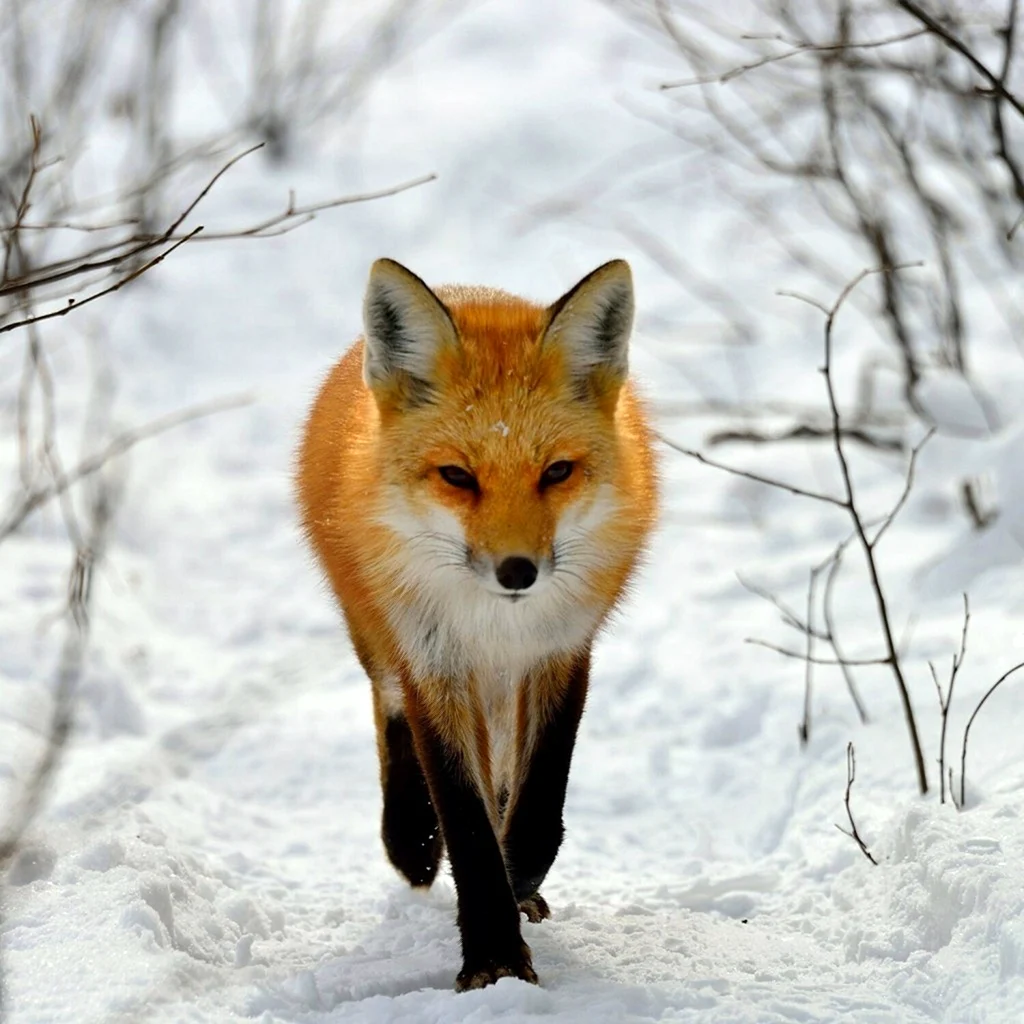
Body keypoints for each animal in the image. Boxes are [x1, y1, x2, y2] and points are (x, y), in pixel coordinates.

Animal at [295, 257, 658, 991]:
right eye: (458, 476)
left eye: (557, 472)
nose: (518, 572)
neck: (496, 625)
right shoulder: (434, 660)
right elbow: (463, 816)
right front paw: (493, 952)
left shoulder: (561, 648)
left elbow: (540, 792)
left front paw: (517, 883)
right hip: (381, 638)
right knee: (390, 712)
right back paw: (409, 840)